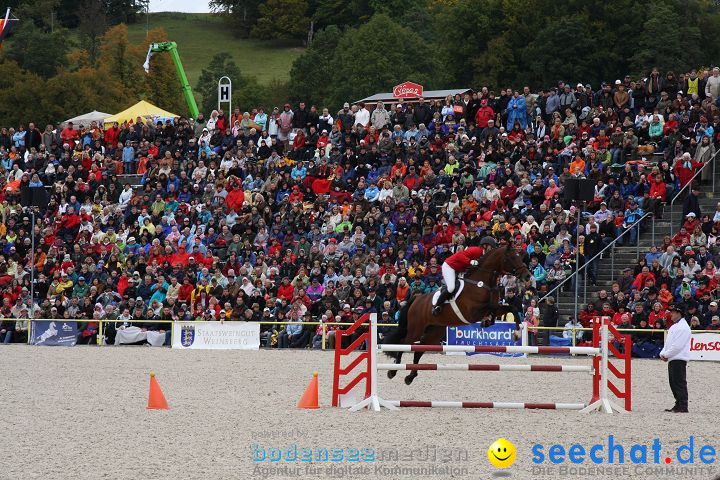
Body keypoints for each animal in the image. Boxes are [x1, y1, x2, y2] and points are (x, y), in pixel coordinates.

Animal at [386, 246, 532, 384]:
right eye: (512, 258)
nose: (528, 276)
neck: (483, 283)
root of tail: (416, 299)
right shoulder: (473, 312)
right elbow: (493, 307)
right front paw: (494, 323)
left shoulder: (495, 308)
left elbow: (512, 308)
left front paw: (517, 332)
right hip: (416, 329)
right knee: (403, 344)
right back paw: (393, 371)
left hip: (434, 332)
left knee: (418, 350)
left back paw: (410, 377)